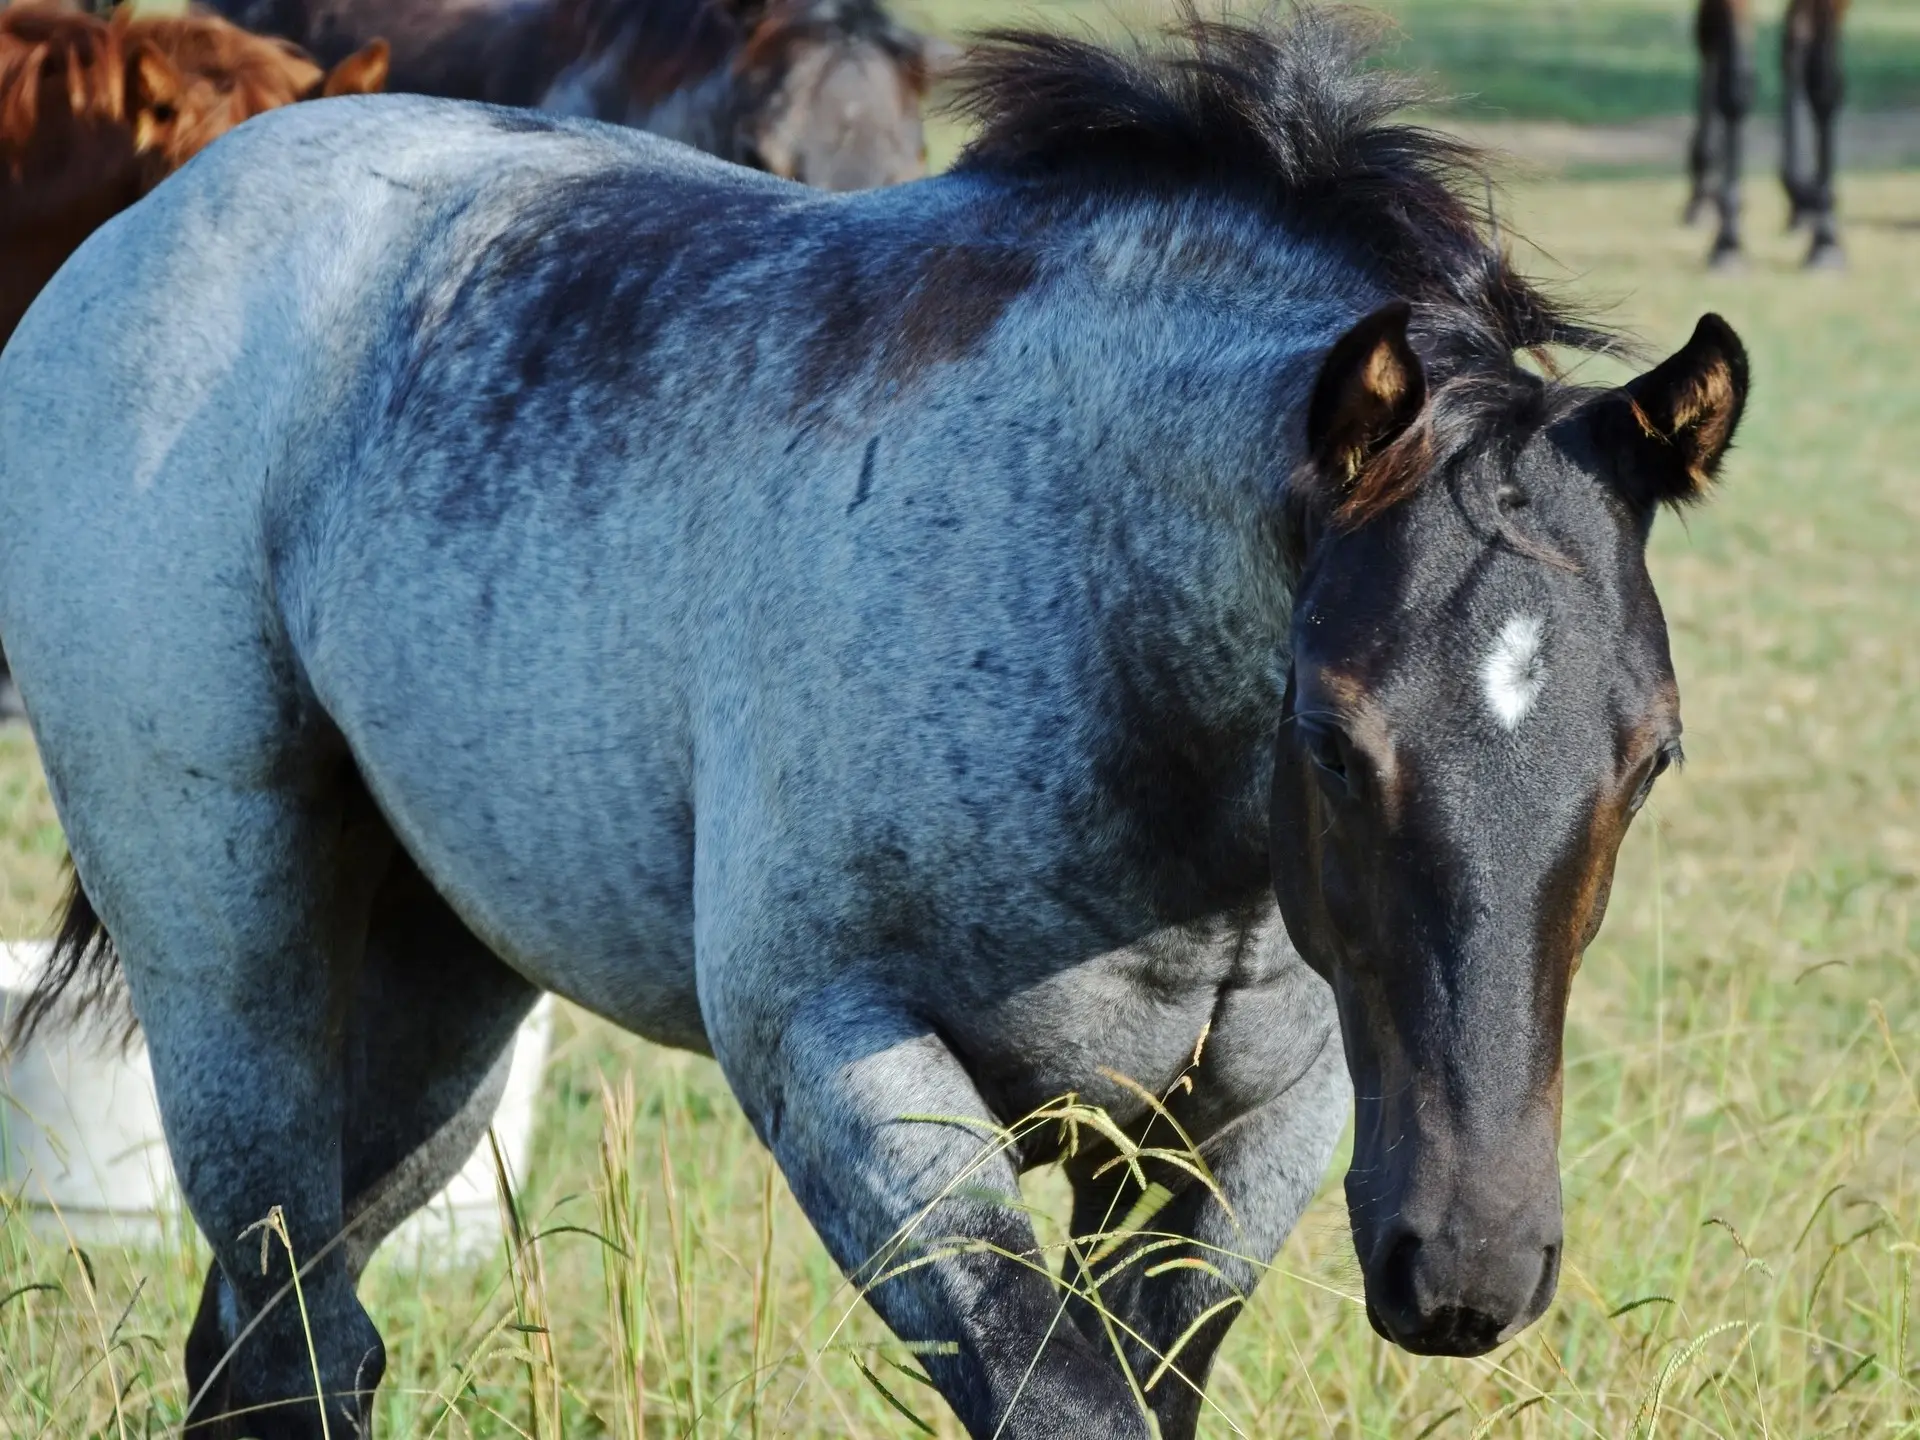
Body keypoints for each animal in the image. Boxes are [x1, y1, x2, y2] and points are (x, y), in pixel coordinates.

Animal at [1689, 0, 1850, 268]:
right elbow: (1734, 89)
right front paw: (1728, 240)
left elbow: (1822, 86)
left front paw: (1825, 239)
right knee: (1709, 41)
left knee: (1794, 43)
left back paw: (1801, 198)